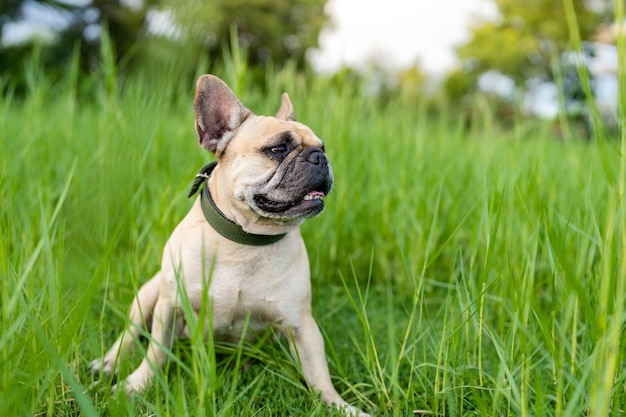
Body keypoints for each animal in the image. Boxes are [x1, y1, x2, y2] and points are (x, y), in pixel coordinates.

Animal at [90, 75, 368, 416]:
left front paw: (339, 406)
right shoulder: (170, 306)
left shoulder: (301, 324)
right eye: (278, 148)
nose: (320, 157)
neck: (245, 241)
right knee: (130, 333)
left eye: (323, 146)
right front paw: (136, 385)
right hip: (148, 294)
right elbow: (156, 351)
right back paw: (109, 362)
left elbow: (319, 374)